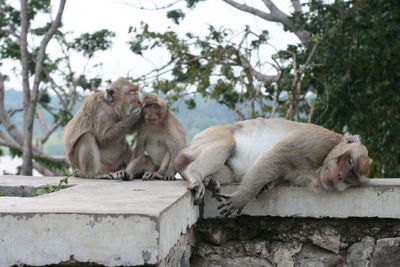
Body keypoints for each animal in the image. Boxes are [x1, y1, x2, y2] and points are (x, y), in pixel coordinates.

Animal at [175, 119, 372, 218]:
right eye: (350, 162)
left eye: (351, 177)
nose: (340, 176)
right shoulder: (315, 140)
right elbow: (275, 156)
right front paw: (242, 197)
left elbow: (277, 168)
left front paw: (268, 184)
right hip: (210, 134)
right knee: (227, 143)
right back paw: (193, 173)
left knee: (232, 172)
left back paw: (210, 180)